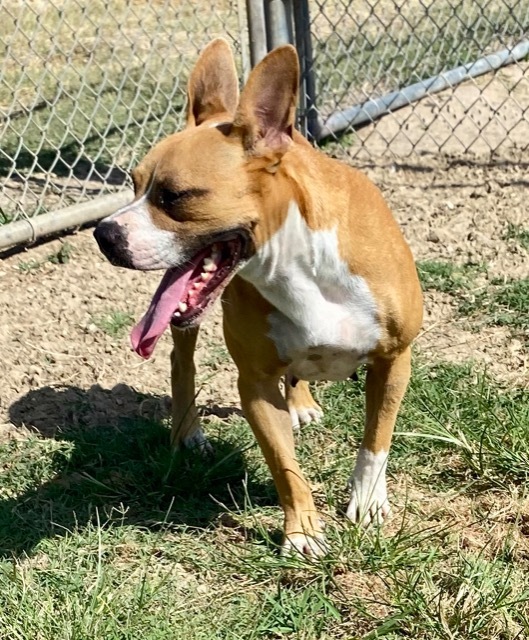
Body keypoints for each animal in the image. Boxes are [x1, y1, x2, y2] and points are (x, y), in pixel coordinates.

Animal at [95, 37, 422, 556]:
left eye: (173, 196)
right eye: (133, 184)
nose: (103, 233)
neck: (297, 261)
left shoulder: (394, 359)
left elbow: (376, 439)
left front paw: (368, 501)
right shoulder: (255, 385)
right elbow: (284, 465)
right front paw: (302, 531)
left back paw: (302, 402)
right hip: (188, 326)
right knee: (182, 362)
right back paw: (187, 431)